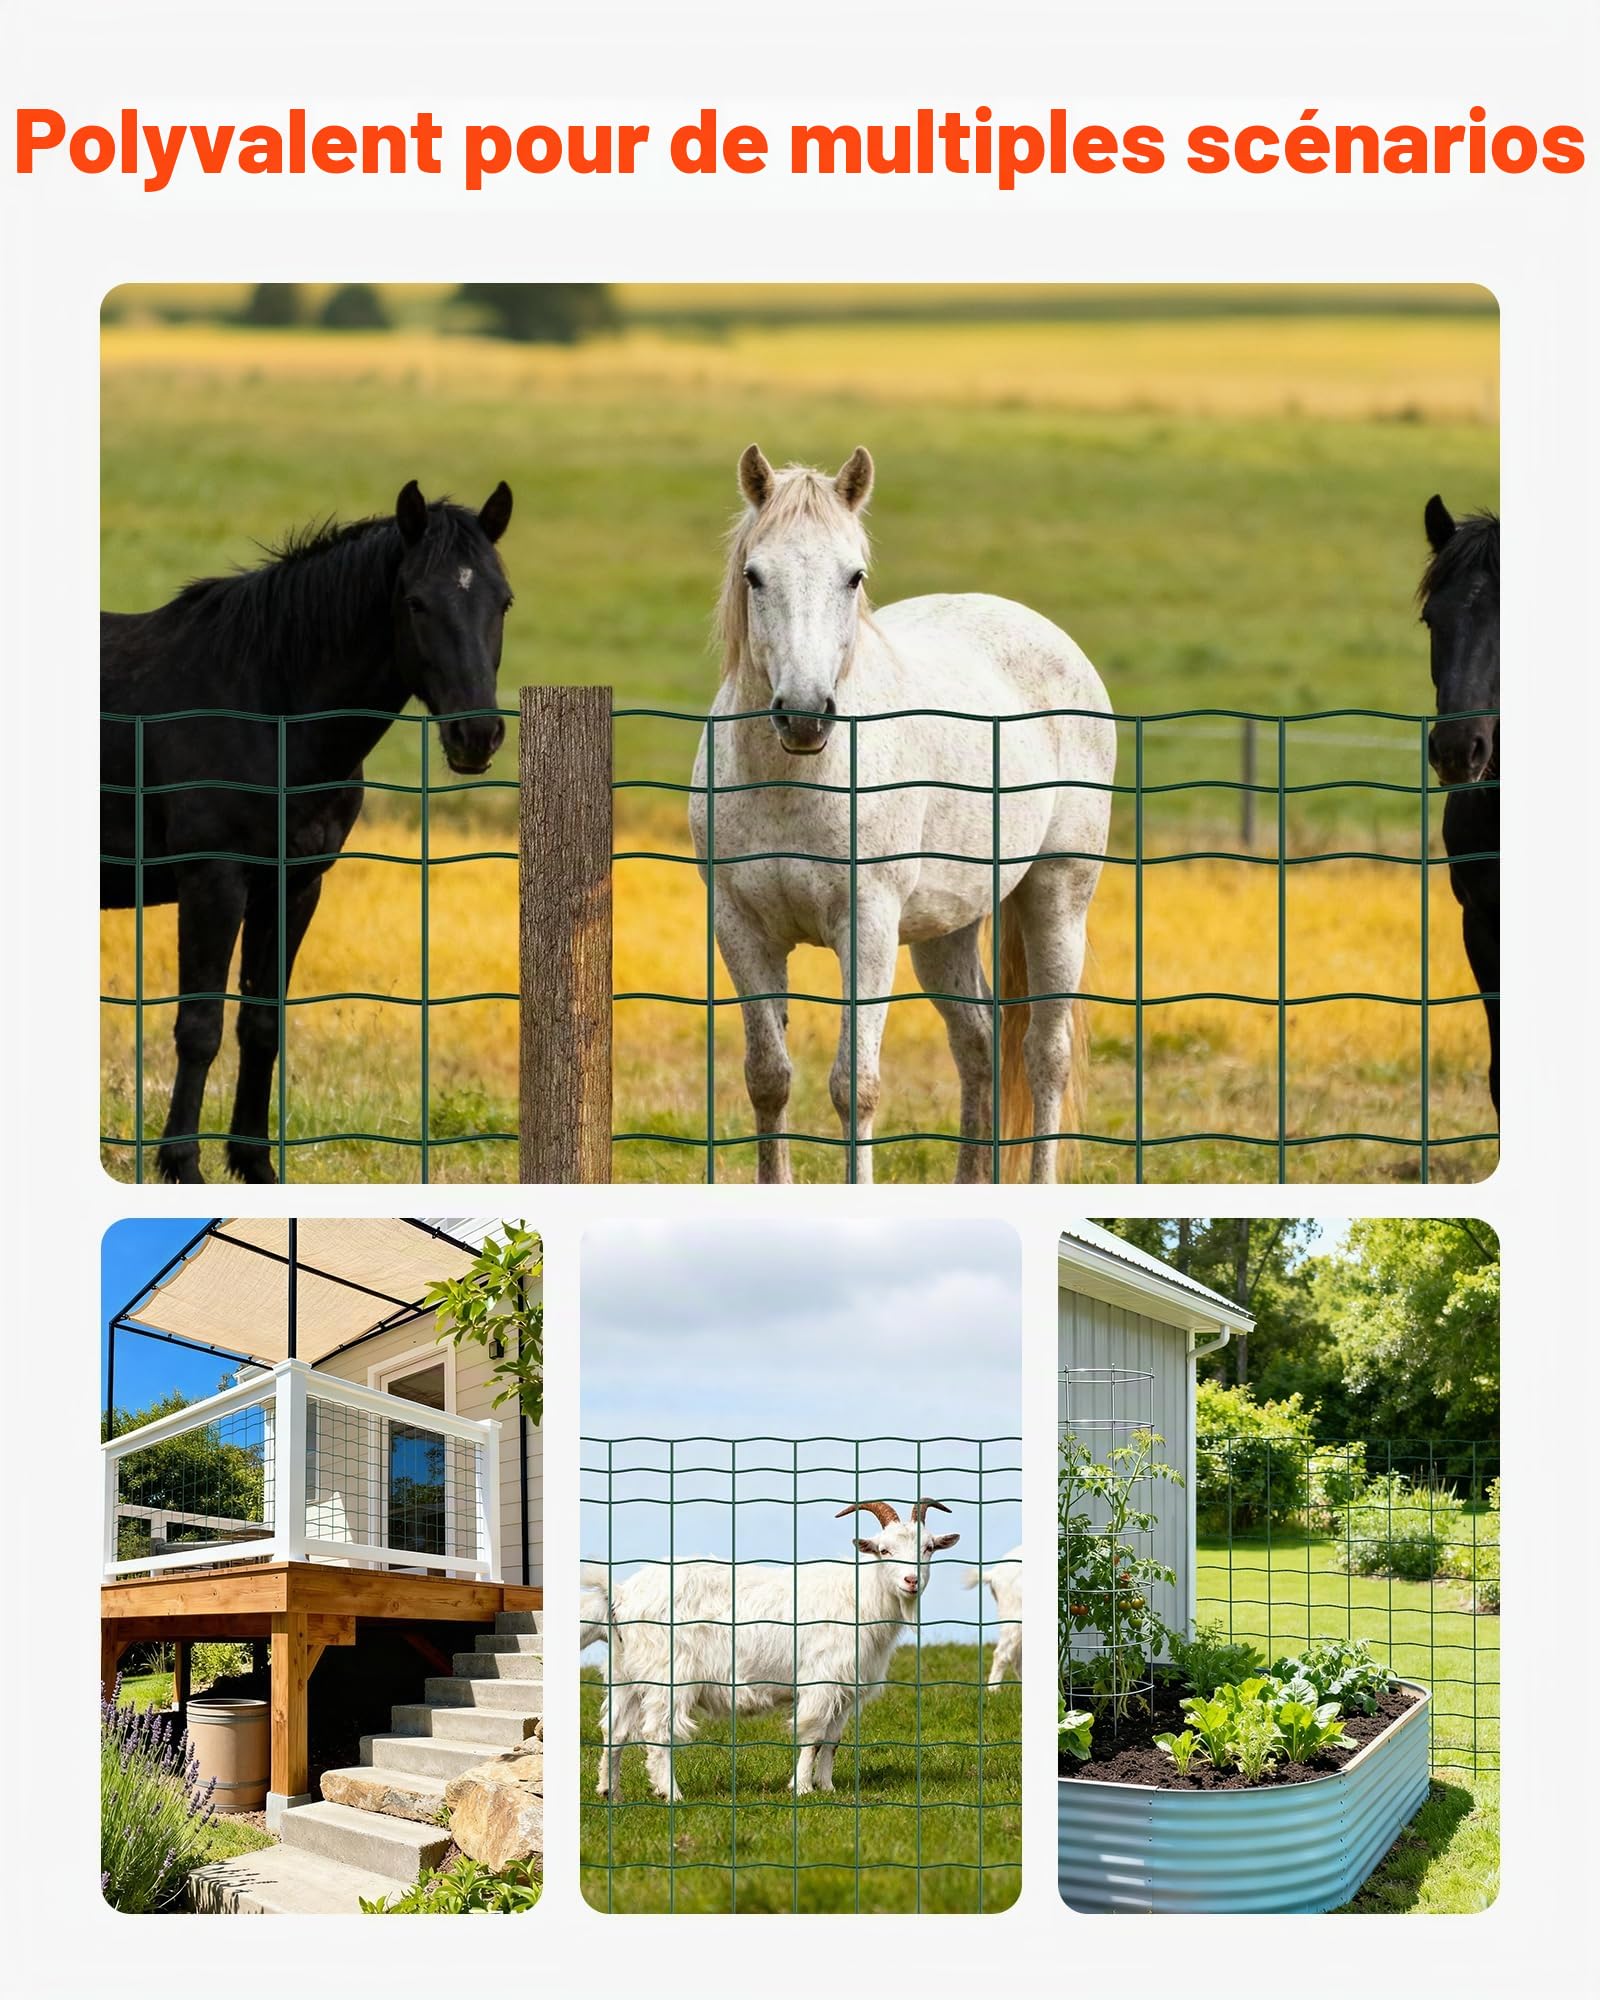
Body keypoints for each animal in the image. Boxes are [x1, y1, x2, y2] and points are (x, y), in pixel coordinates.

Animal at [584, 1499, 960, 1801]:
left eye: (928, 1548)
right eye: (884, 1550)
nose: (911, 1581)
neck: (858, 1597)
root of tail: (623, 1594)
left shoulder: (846, 1688)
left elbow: (833, 1740)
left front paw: (828, 1788)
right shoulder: (821, 1680)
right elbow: (812, 1734)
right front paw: (803, 1788)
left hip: (624, 1672)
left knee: (614, 1730)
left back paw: (610, 1791)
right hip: (668, 1673)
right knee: (657, 1731)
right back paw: (671, 1793)